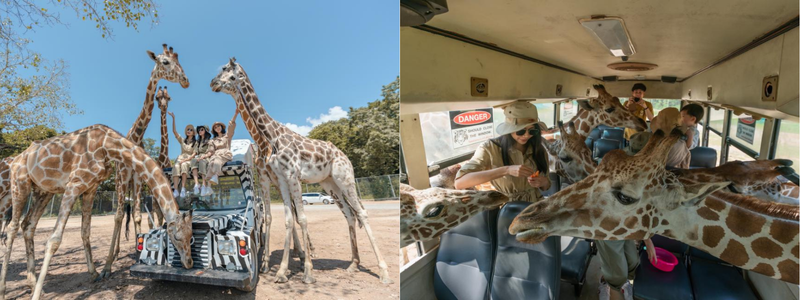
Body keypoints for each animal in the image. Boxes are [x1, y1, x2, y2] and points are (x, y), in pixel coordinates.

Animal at [1, 125, 195, 300]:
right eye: (176, 237)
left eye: (190, 236)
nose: (189, 262)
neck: (106, 144)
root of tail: (17, 158)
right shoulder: (73, 185)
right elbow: (54, 240)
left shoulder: (90, 188)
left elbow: (86, 231)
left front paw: (94, 273)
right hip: (20, 183)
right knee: (12, 228)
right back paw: (6, 291)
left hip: (43, 190)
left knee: (28, 225)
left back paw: (32, 283)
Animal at [97, 43, 189, 280]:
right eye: (165, 61)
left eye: (168, 98)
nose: (185, 80)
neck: (136, 137)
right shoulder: (122, 174)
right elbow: (119, 216)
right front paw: (107, 267)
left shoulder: (138, 179)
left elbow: (139, 216)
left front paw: (140, 252)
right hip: (121, 181)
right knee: (121, 214)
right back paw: (115, 253)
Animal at [209, 58, 390, 284]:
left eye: (230, 75)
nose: (213, 83)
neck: (269, 137)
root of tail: (345, 155)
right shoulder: (277, 179)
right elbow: (285, 218)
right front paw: (279, 269)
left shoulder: (291, 176)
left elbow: (300, 218)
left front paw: (307, 270)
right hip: (330, 184)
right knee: (349, 215)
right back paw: (353, 264)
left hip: (345, 178)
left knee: (362, 213)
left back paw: (383, 271)